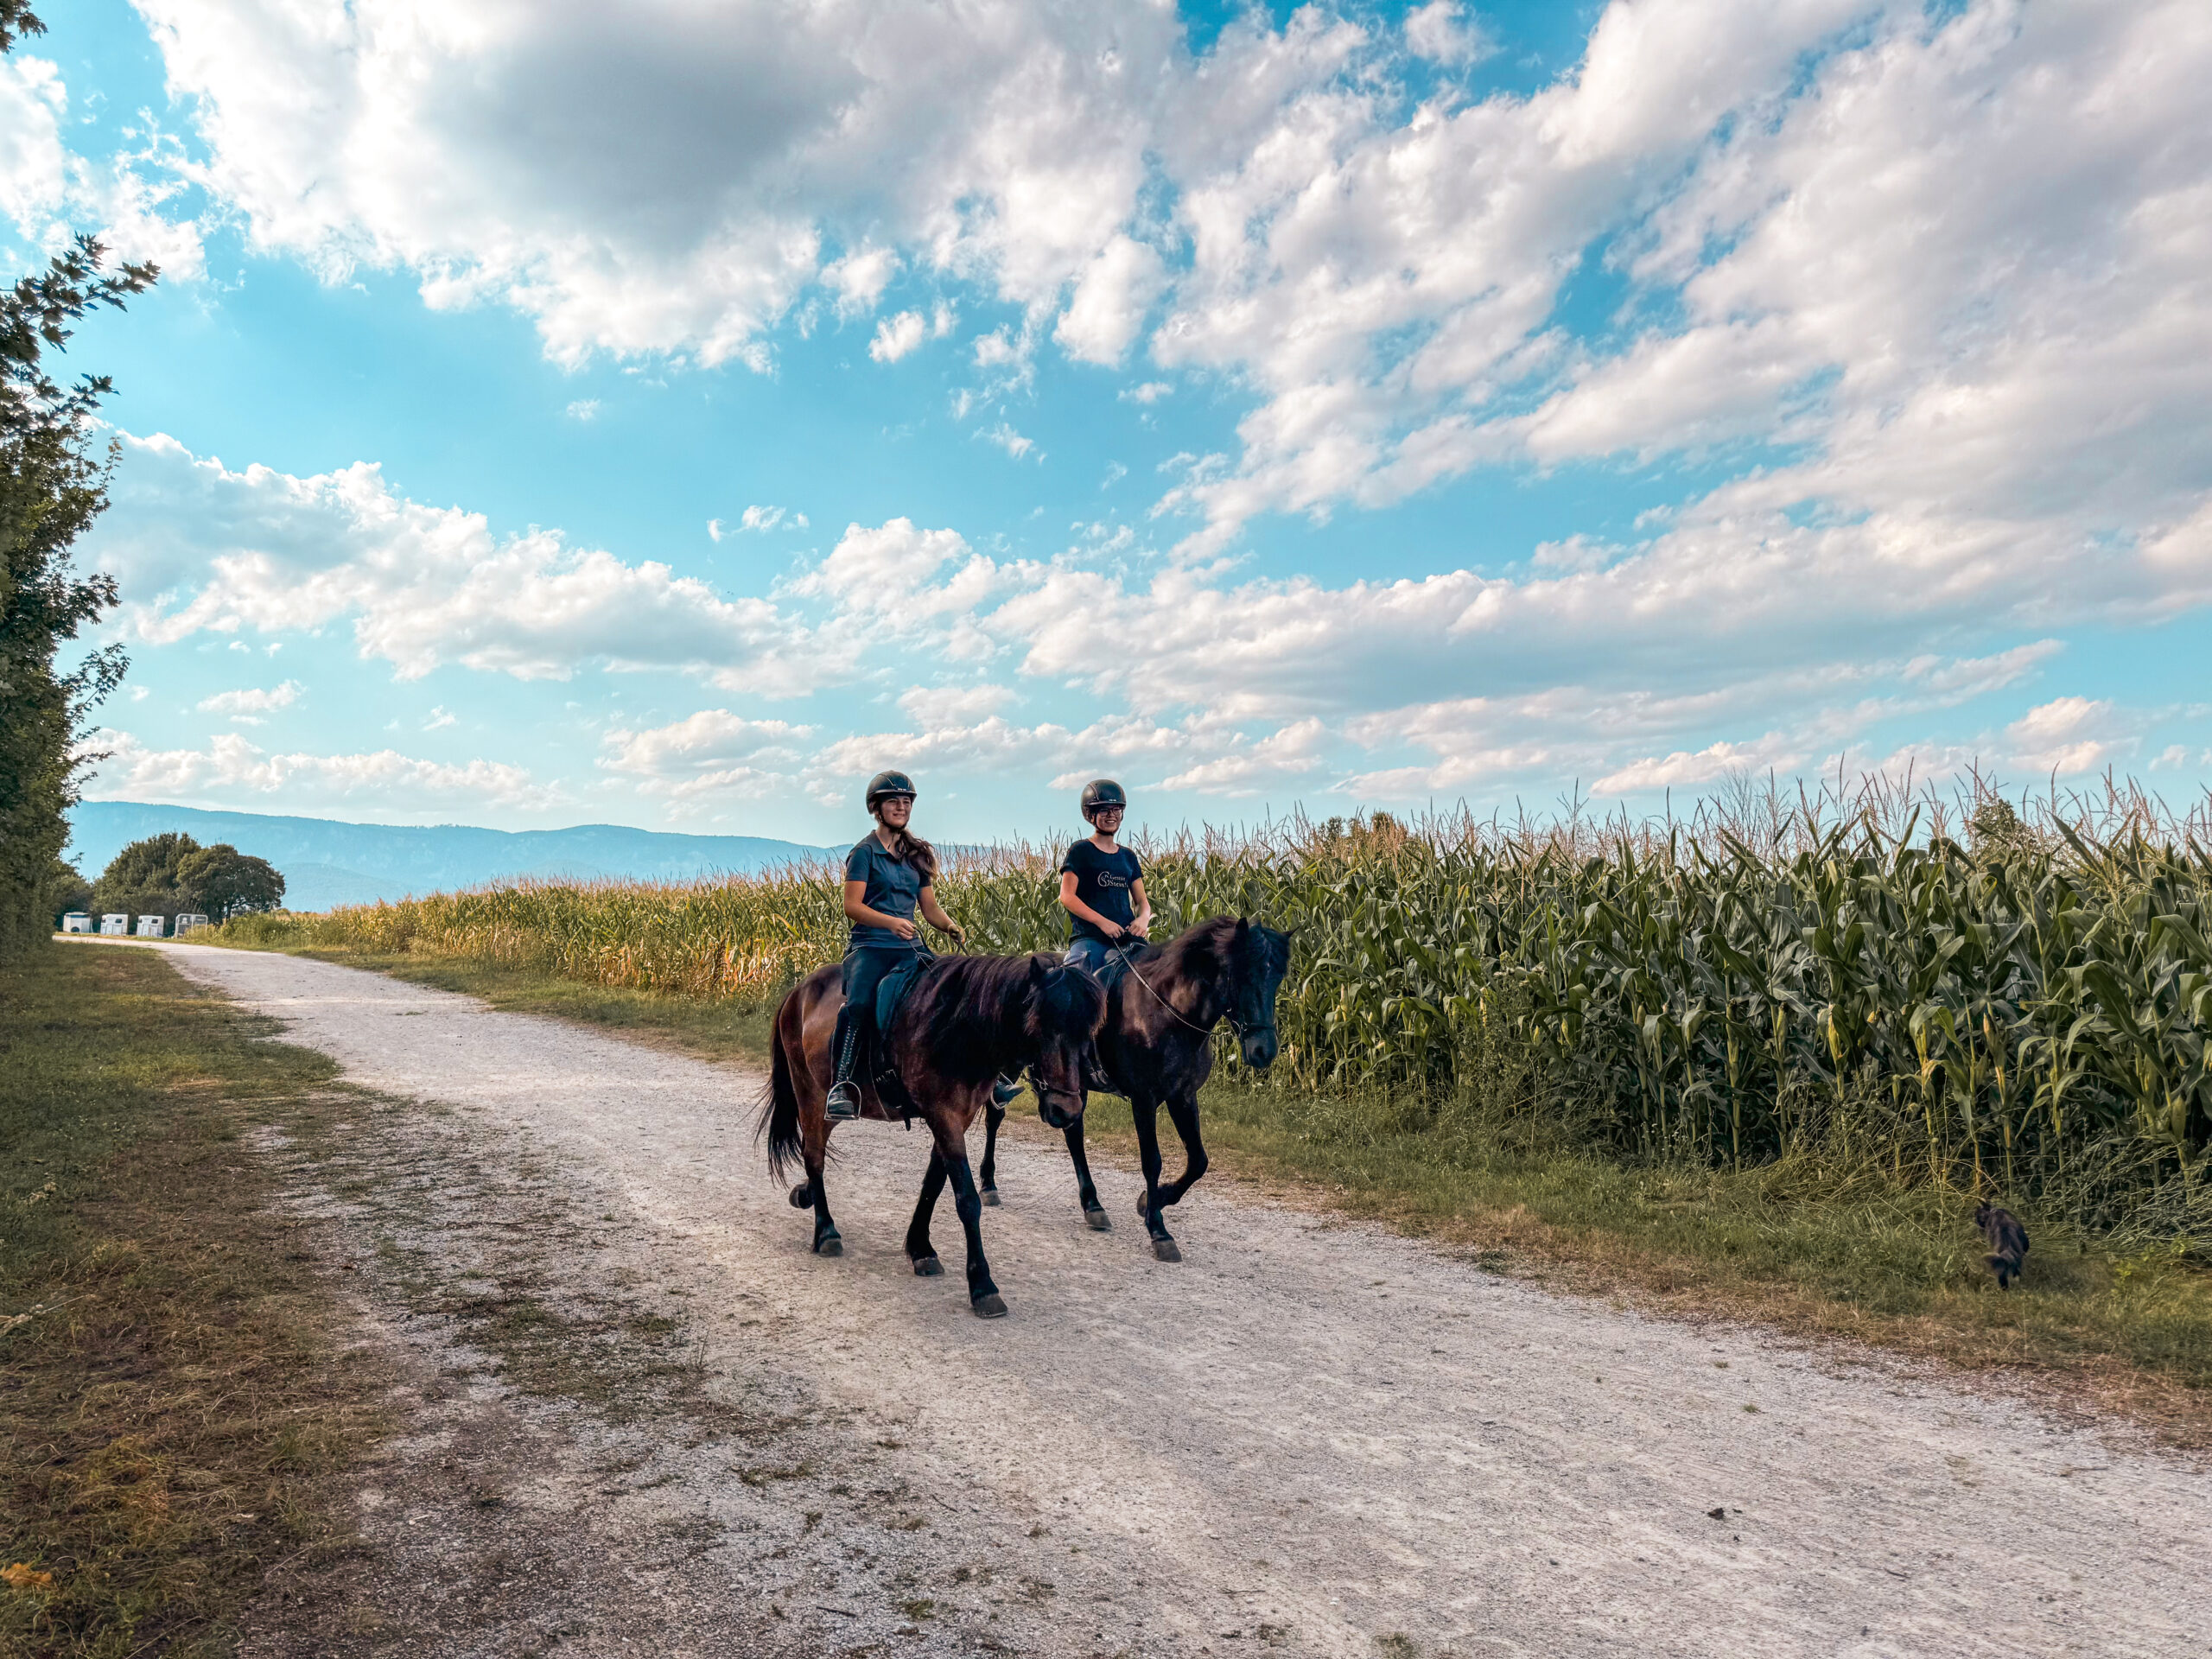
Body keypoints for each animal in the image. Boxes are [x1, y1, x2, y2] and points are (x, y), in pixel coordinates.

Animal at [760, 955, 1106, 1318]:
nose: (1066, 1111)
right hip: (810, 1094)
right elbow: (966, 1200)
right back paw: (826, 1231)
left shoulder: (958, 1118)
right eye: (1039, 1027)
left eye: (1088, 1034)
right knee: (814, 1156)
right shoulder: (944, 1116)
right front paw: (983, 1286)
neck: (958, 1027)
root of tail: (797, 992)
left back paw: (804, 1194)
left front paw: (920, 1248)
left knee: (814, 1151)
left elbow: (933, 1184)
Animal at [977, 925, 1292, 1256]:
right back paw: (988, 1185)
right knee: (995, 1116)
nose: (1264, 1051)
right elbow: (1152, 1161)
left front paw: (1153, 1202)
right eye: (1244, 974)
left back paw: (1093, 1206)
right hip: (1012, 1065)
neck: (1166, 1011)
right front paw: (1159, 1231)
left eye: (1277, 978)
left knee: (1073, 1134)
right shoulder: (1144, 1100)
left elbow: (1198, 1161)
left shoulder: (1182, 1096)